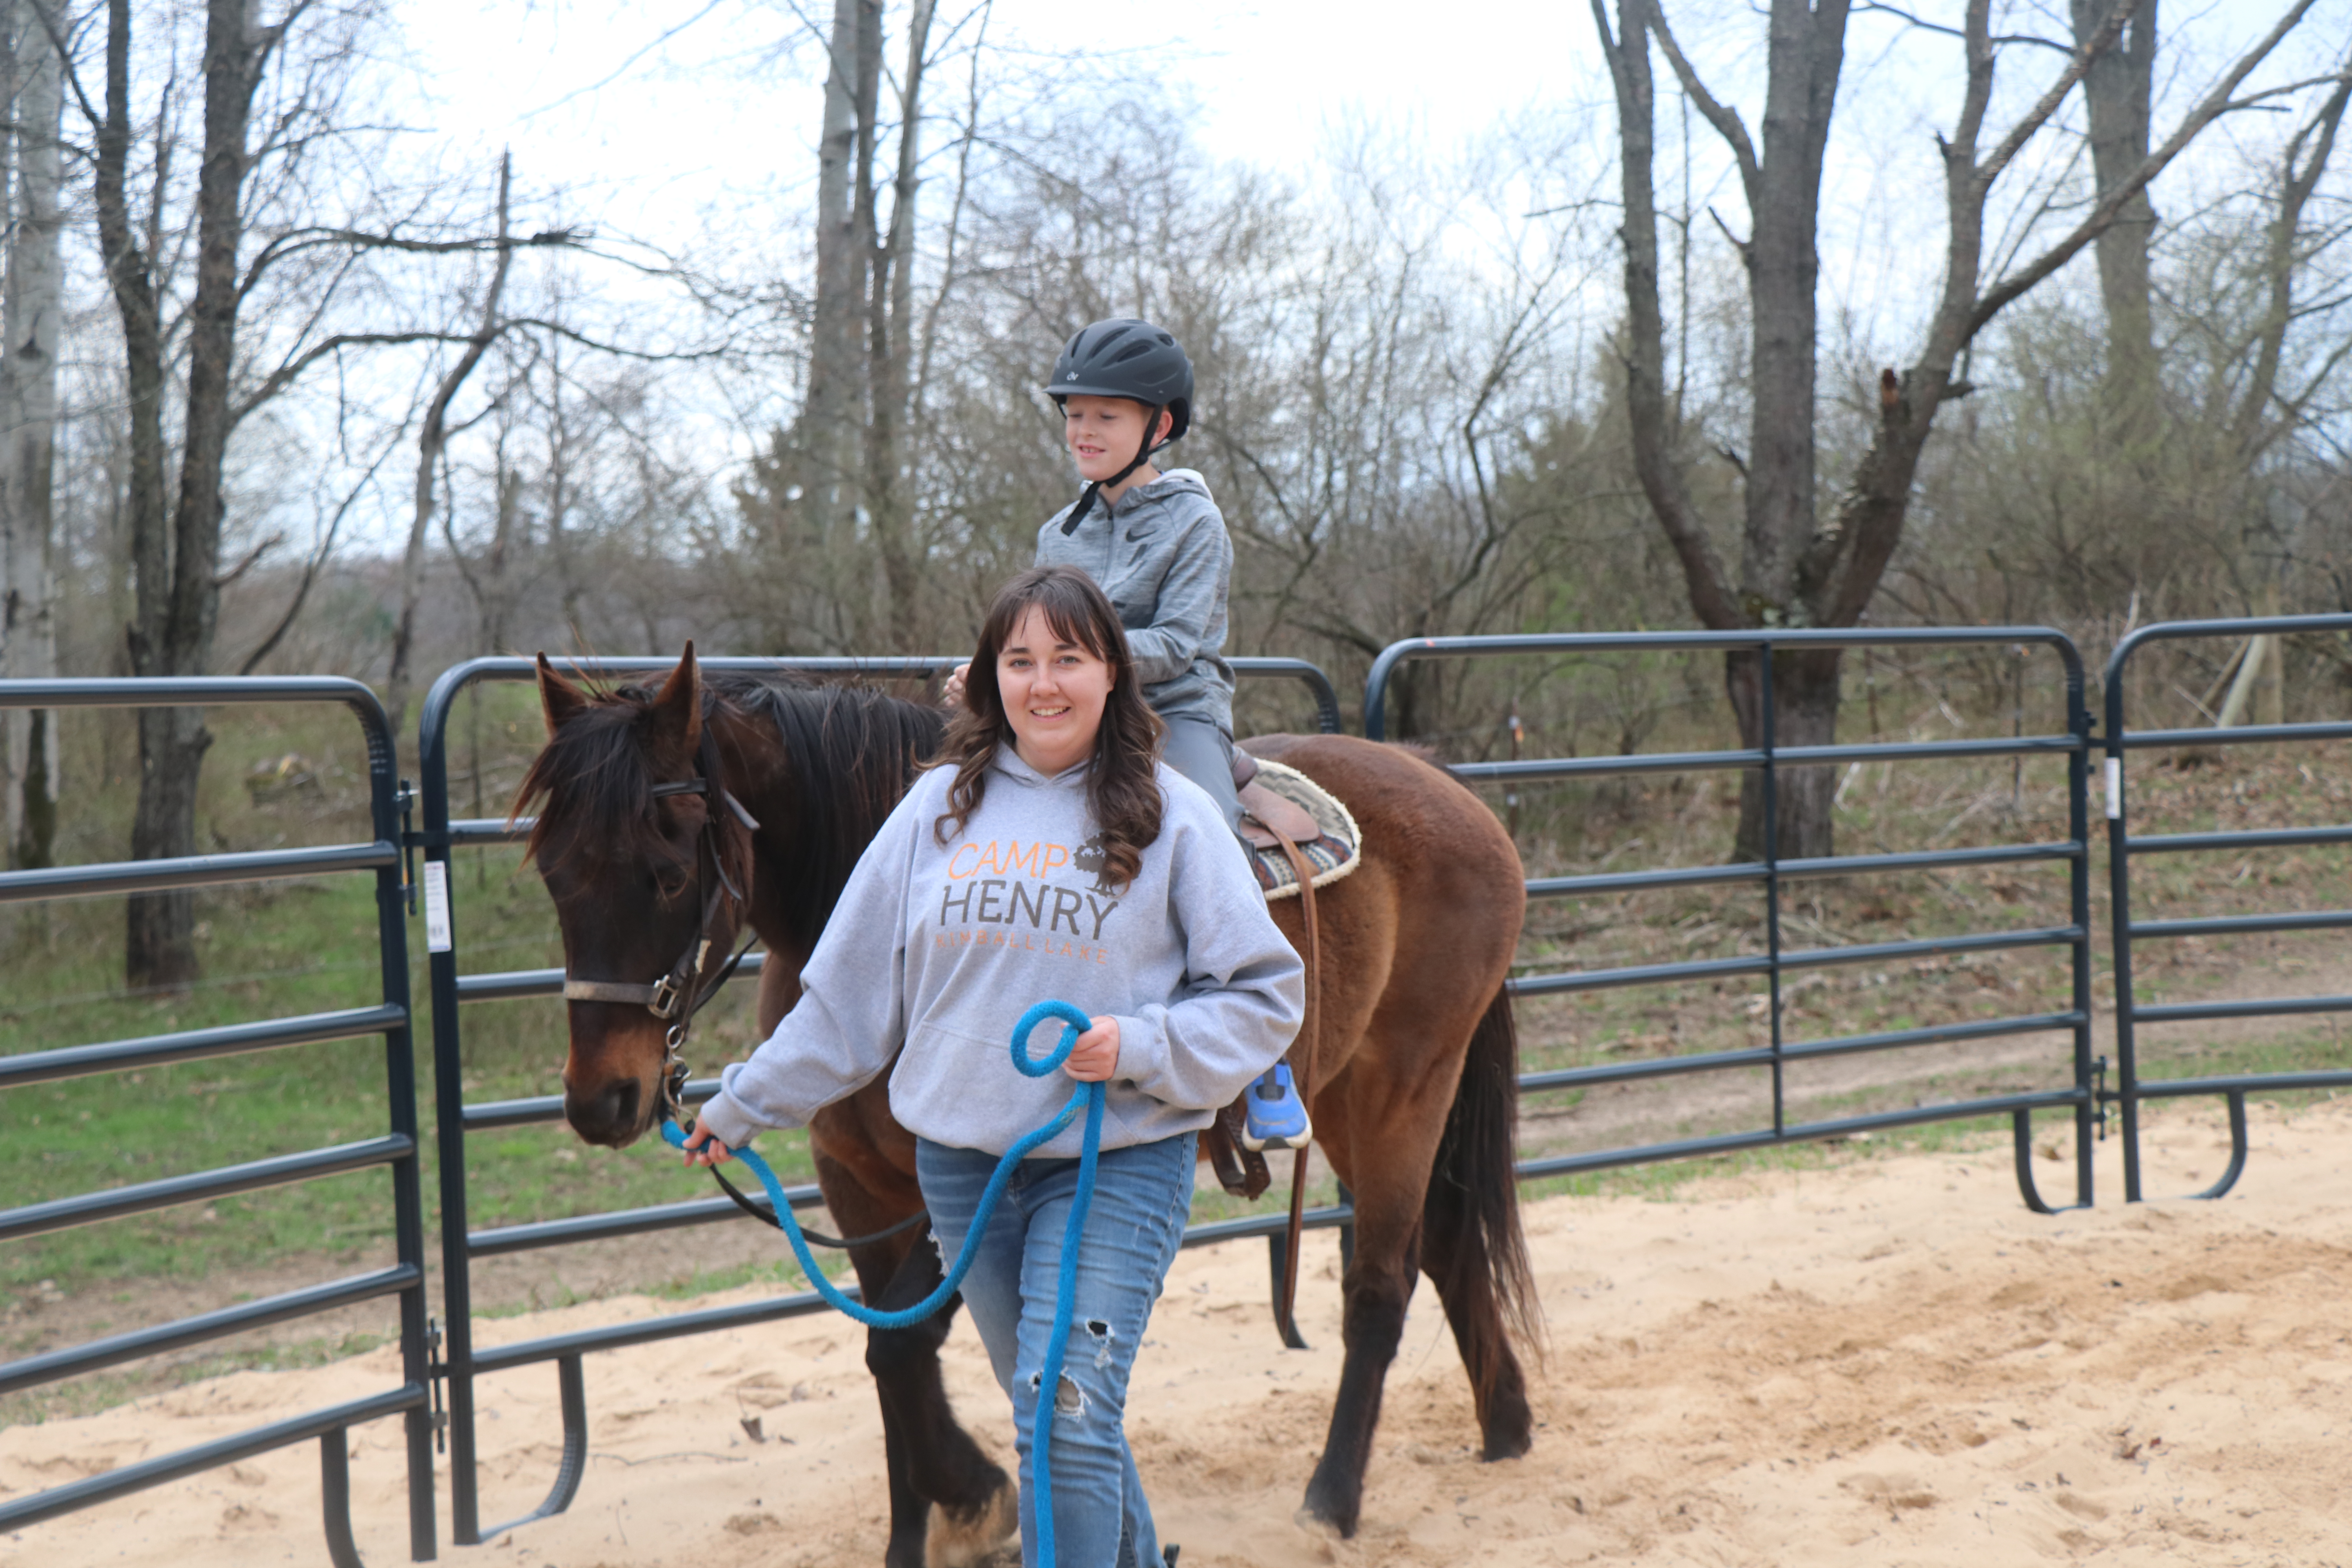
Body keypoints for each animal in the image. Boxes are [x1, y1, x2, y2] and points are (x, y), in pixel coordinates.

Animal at [517, 644, 1543, 1561]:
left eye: (667, 872)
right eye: (553, 874)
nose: (602, 1098)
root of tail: (1442, 783)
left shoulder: (953, 1193)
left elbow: (901, 1350)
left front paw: (983, 1500)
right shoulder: (860, 1183)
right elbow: (889, 1354)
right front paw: (924, 1532)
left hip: (1404, 1086)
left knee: (1382, 1283)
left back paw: (1330, 1504)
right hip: (1358, 1099)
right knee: (1447, 1243)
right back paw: (1506, 1428)